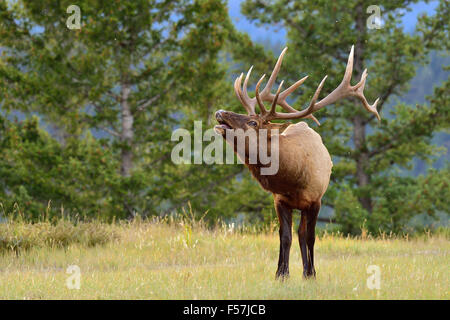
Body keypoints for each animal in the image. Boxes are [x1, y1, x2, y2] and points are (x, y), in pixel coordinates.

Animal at [214, 46, 380, 278]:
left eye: (253, 122)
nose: (220, 112)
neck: (293, 181)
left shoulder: (316, 200)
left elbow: (310, 237)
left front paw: (311, 273)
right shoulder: (279, 201)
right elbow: (285, 237)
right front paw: (281, 274)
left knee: (304, 234)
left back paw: (307, 271)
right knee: (296, 234)